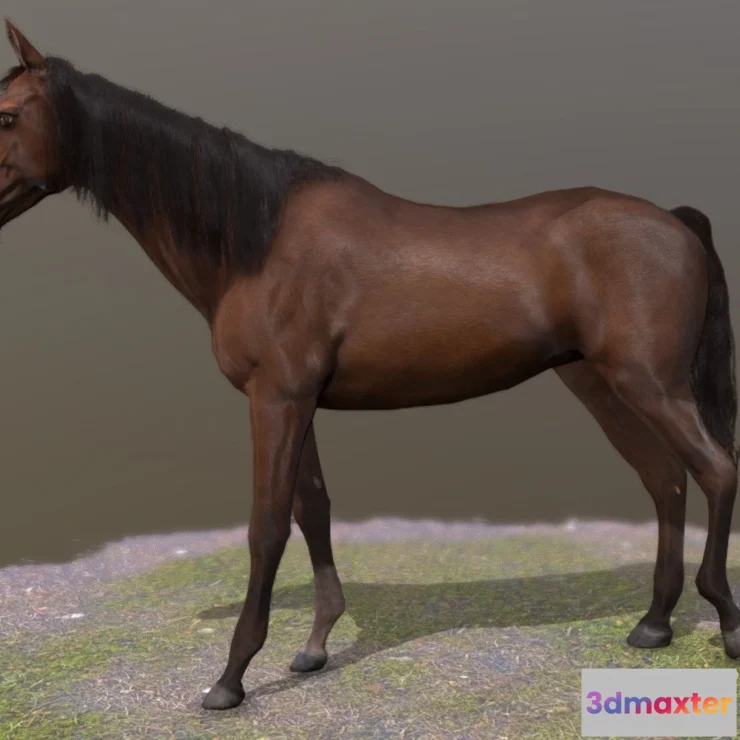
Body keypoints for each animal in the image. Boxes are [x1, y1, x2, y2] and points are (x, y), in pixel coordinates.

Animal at [0, 20, 736, 711]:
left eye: (7, 115)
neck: (257, 244)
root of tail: (673, 220)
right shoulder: (296, 400)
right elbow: (314, 509)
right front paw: (315, 646)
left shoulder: (276, 398)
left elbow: (266, 528)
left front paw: (231, 679)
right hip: (598, 383)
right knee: (666, 482)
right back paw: (653, 625)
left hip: (651, 384)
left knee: (715, 471)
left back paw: (724, 623)